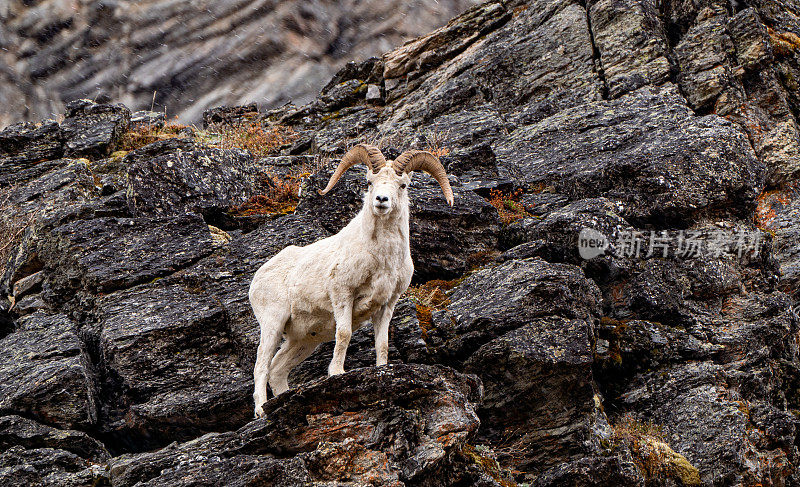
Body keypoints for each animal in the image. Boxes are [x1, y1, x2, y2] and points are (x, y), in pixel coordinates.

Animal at [247, 143, 454, 418]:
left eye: (402, 185)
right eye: (369, 182)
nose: (381, 200)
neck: (382, 259)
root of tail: (257, 279)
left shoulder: (386, 305)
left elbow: (382, 344)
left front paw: (382, 371)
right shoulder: (342, 294)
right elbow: (344, 334)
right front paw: (337, 373)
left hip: (303, 340)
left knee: (277, 369)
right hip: (273, 324)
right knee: (261, 366)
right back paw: (261, 411)